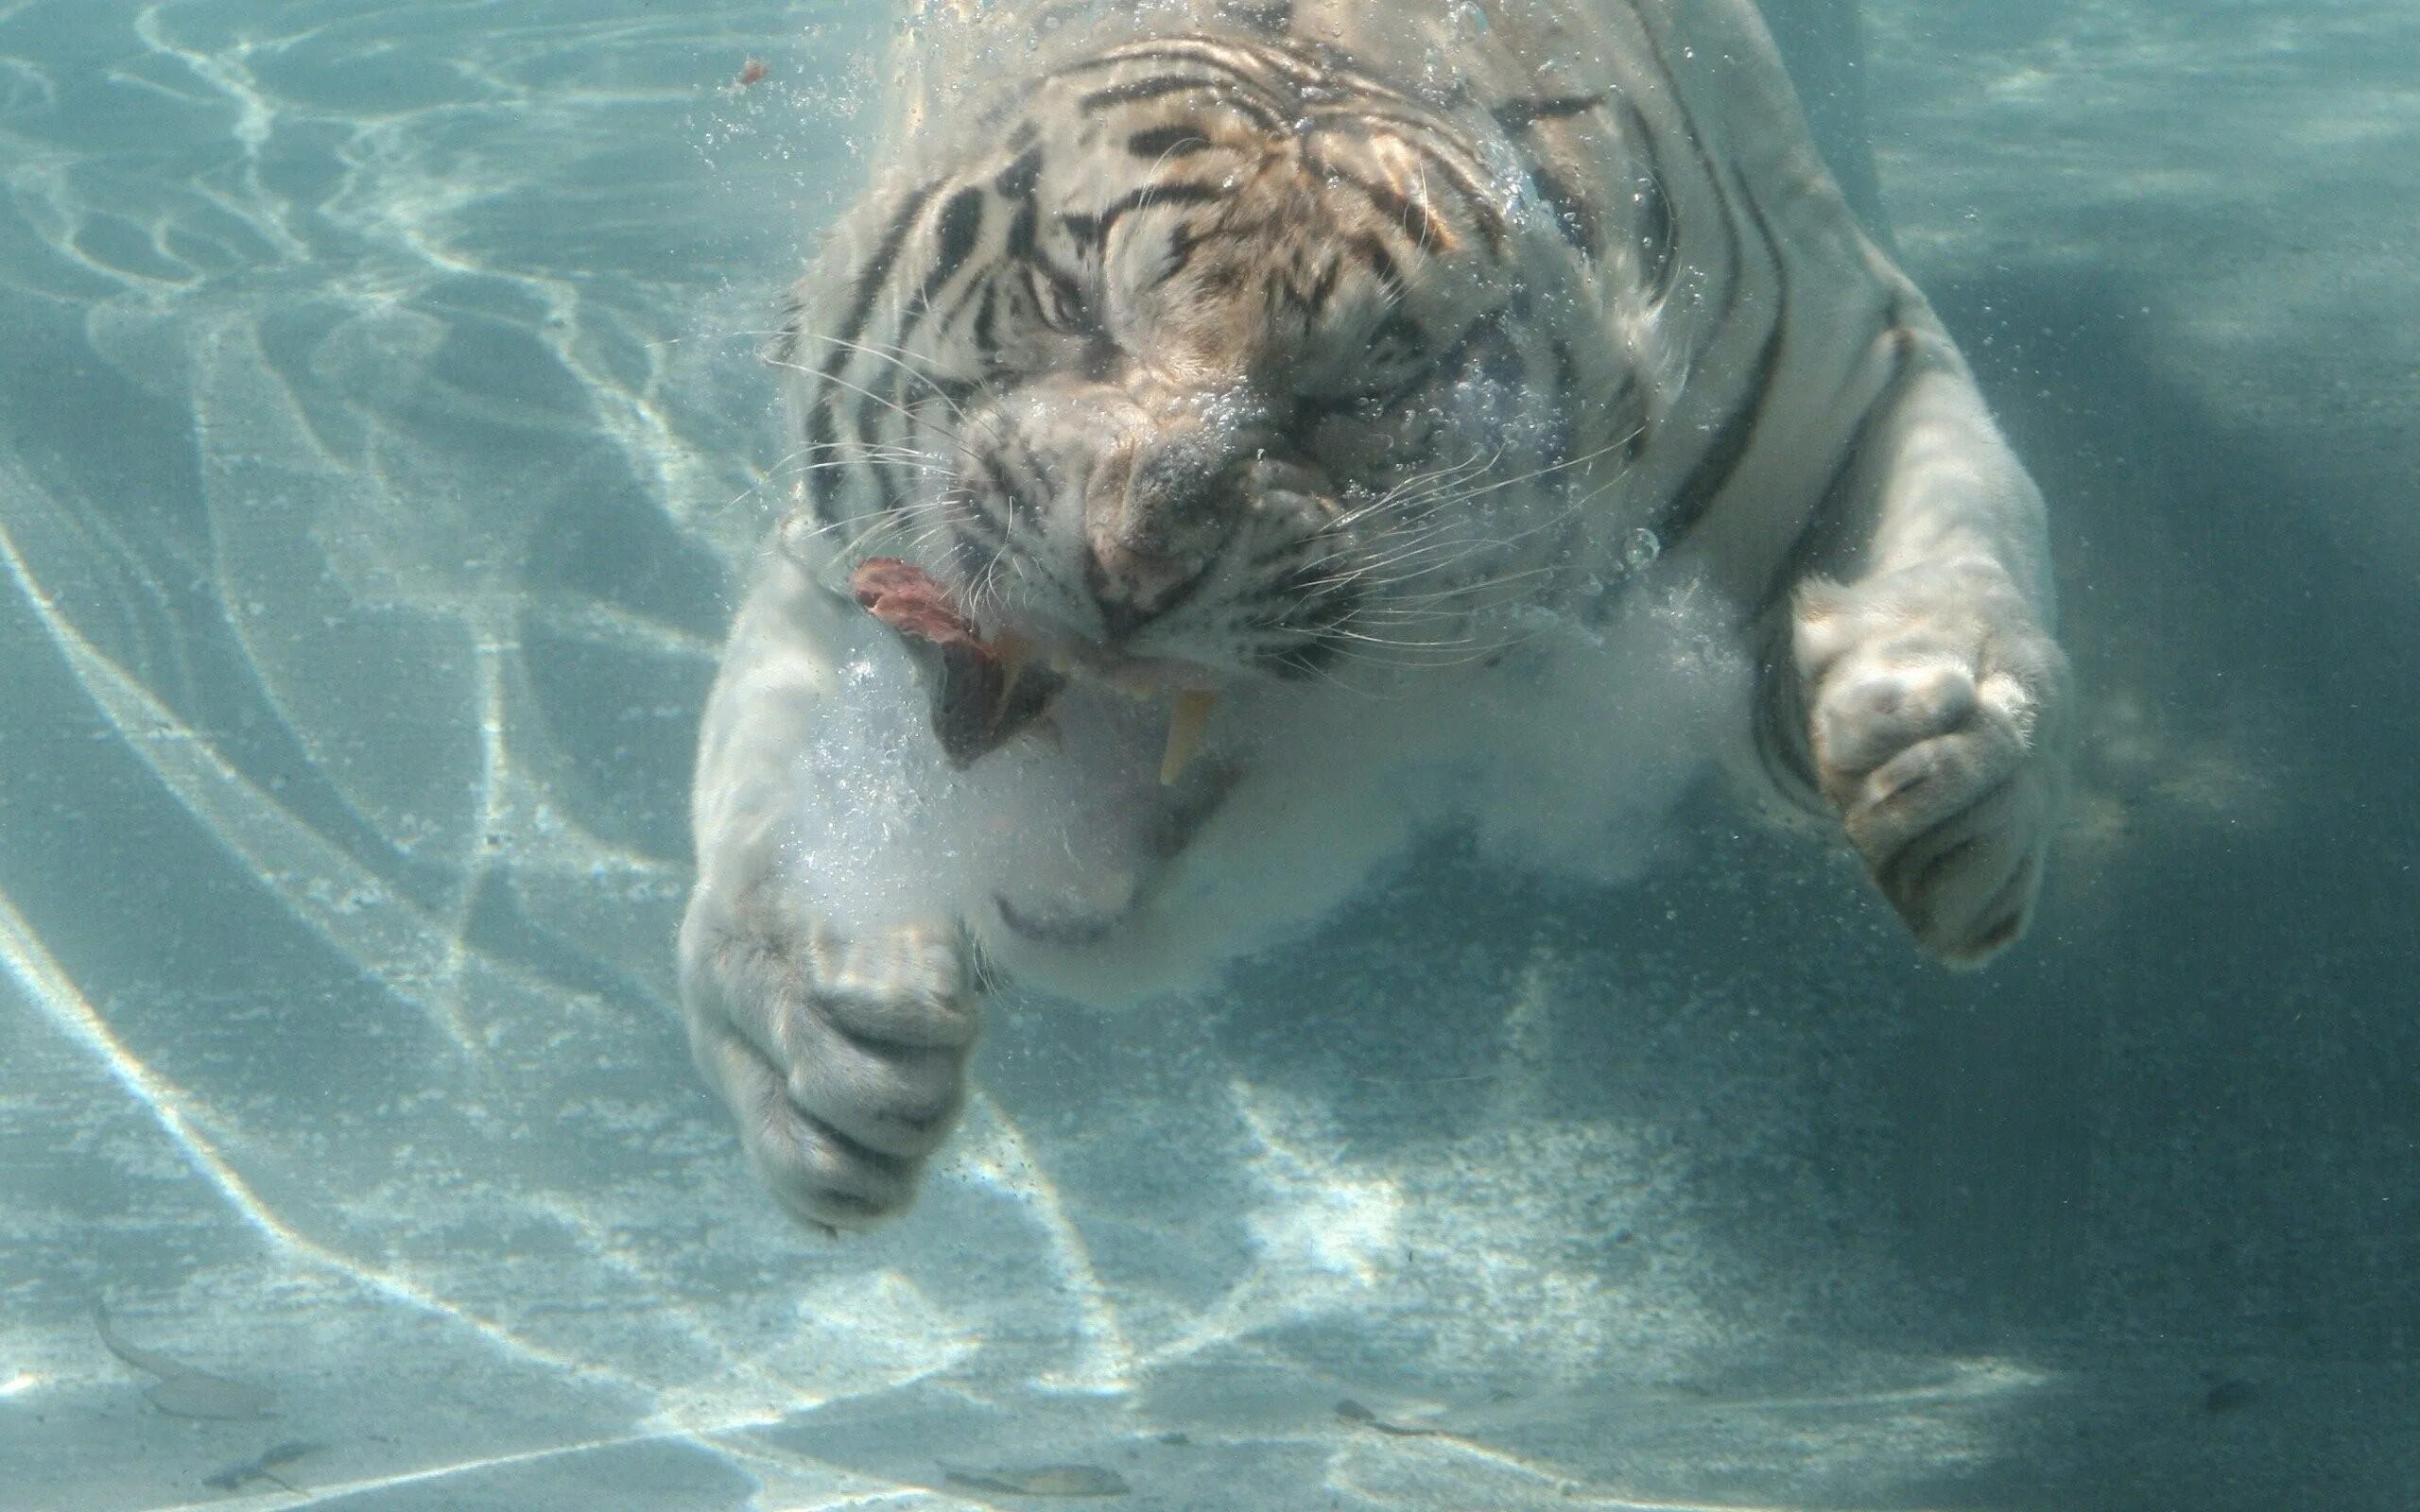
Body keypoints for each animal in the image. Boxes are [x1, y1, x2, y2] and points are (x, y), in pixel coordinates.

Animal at [677, 0, 2062, 1228]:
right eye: (1075, 303)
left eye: (1358, 395)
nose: (1135, 558)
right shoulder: (827, 557)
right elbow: (752, 799)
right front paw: (818, 1033)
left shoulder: (1846, 347)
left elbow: (1973, 534)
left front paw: (1938, 743)